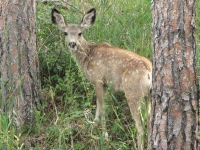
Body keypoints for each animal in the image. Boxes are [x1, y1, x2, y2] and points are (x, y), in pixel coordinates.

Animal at [51, 8, 152, 150]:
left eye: (80, 33)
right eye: (65, 33)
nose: (72, 44)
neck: (87, 56)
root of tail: (149, 71)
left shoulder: (97, 79)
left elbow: (102, 105)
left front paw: (104, 133)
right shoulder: (104, 83)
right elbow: (98, 103)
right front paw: (94, 121)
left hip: (133, 92)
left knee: (140, 125)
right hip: (149, 95)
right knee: (149, 120)